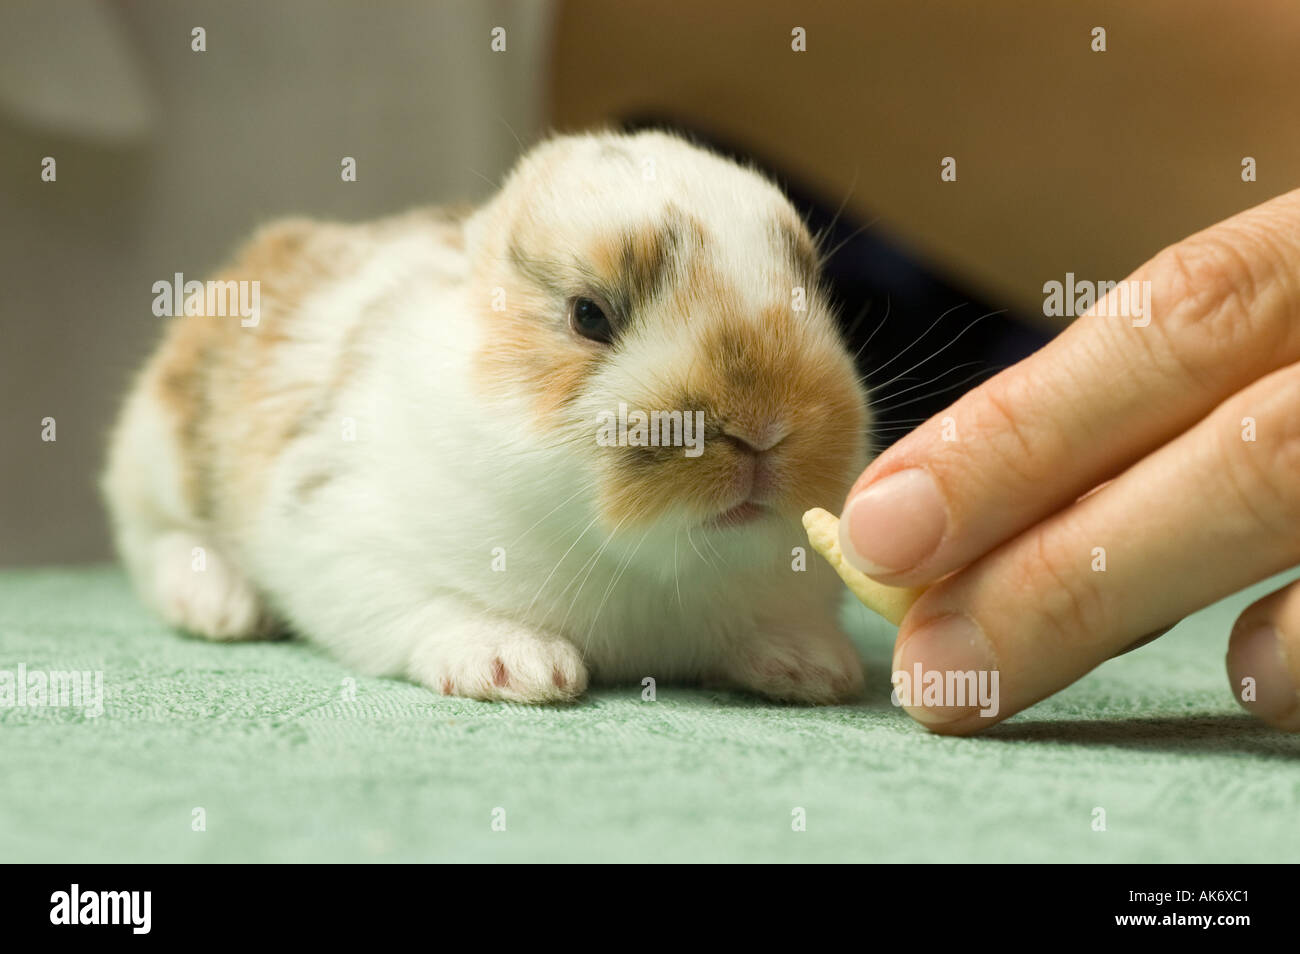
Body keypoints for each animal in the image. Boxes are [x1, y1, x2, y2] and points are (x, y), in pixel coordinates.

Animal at [101, 129, 871, 704]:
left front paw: (814, 668)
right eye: (589, 315)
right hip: (156, 459)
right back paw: (222, 607)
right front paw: (518, 666)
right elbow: (433, 605)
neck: (655, 569)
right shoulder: (344, 537)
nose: (762, 429)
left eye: (814, 290)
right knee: (157, 542)